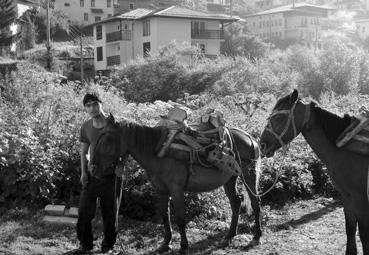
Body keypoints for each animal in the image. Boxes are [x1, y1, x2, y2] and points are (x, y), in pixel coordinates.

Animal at [95, 118, 262, 254]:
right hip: (230, 179)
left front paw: (183, 246)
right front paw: (165, 244)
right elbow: (165, 216)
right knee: (236, 203)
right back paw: (229, 236)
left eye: (108, 138)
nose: (93, 168)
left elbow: (180, 218)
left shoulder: (176, 189)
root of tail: (250, 138)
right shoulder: (160, 190)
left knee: (255, 202)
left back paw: (256, 236)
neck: (159, 151)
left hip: (249, 175)